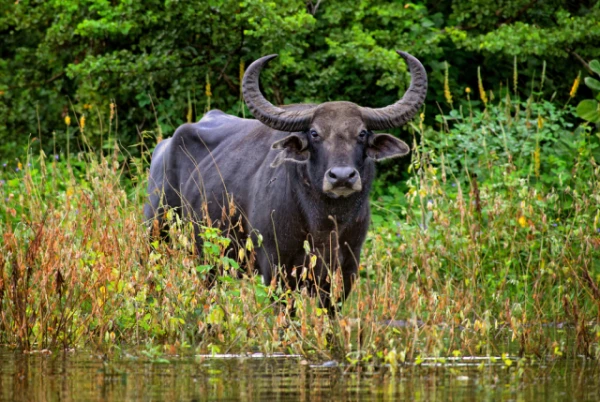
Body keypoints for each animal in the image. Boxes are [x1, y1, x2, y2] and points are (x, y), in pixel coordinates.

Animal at [145, 51, 426, 310]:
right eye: (314, 133)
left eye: (363, 133)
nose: (342, 176)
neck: (324, 223)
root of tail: (164, 147)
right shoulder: (276, 270)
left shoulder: (345, 271)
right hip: (157, 235)